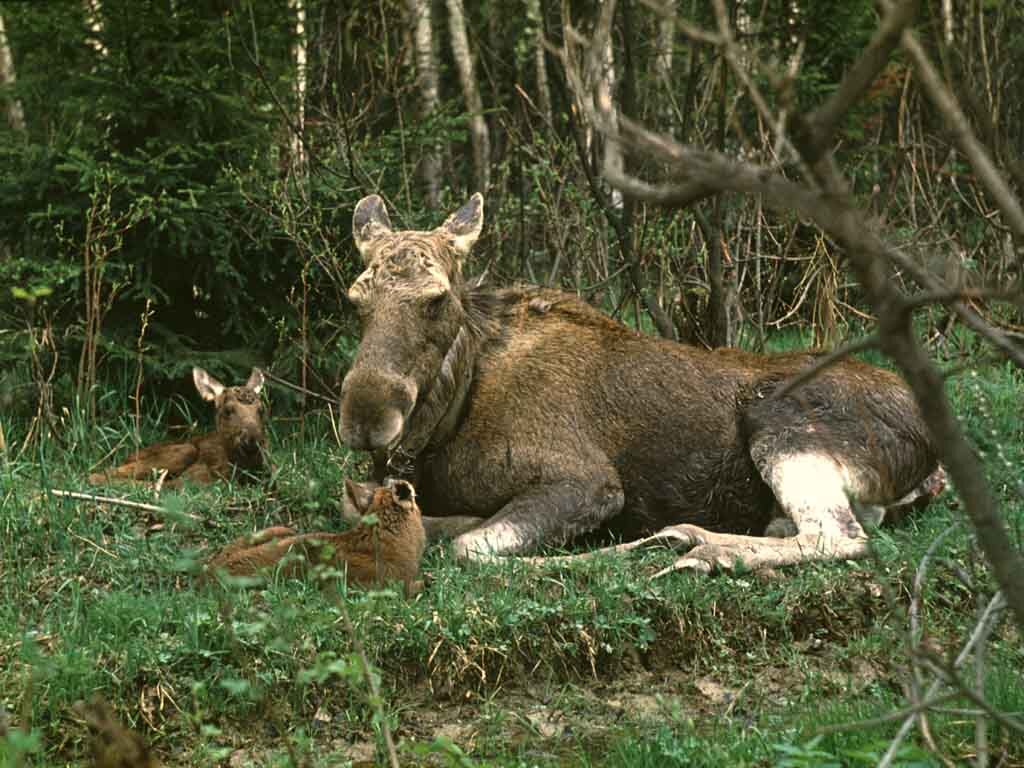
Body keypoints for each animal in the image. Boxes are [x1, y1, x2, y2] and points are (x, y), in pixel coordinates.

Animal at [88, 366, 270, 487]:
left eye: (261, 410)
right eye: (227, 410)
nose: (252, 440)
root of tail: (127, 457)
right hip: (185, 450)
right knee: (98, 475)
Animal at [337, 195, 942, 573]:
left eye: (437, 299)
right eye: (355, 299)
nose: (366, 418)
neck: (450, 418)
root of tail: (932, 455)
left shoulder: (589, 482)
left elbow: (471, 548)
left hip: (781, 422)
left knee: (839, 536)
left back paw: (700, 546)